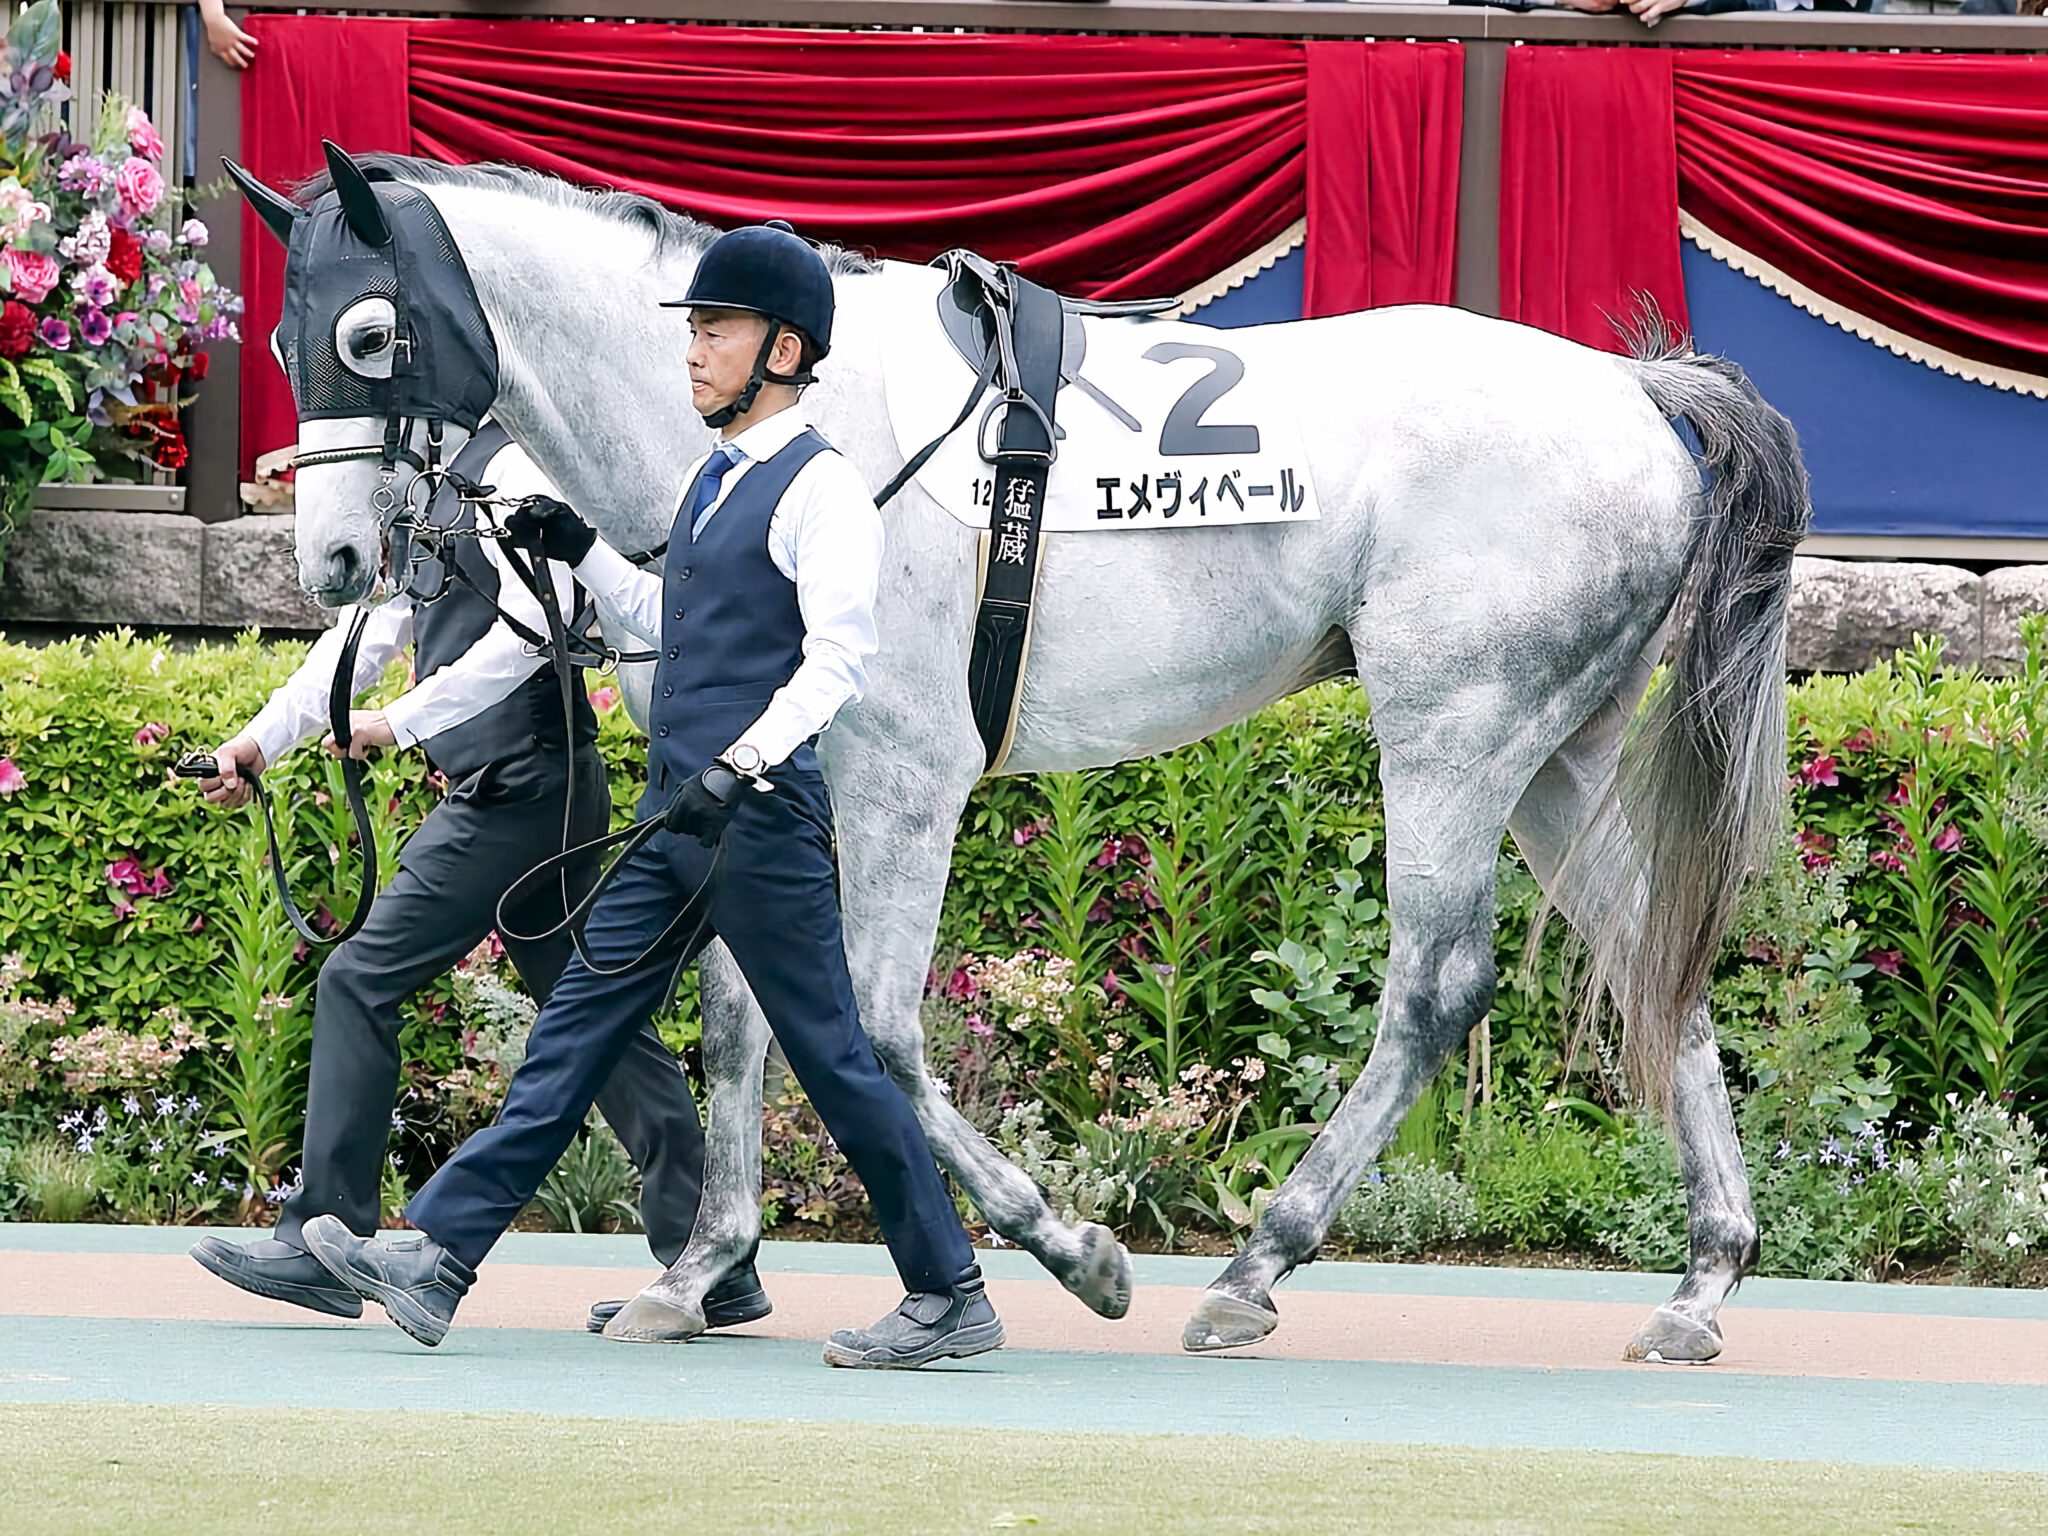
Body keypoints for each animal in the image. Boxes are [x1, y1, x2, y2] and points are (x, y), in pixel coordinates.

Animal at [243, 150, 1810, 1368]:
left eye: (367, 336)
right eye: (279, 342)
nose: (332, 564)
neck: (792, 434)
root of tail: (1639, 393)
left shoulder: (905, 778)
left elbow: (872, 1025)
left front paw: (1064, 1249)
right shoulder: (761, 777)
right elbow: (748, 1017)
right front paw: (699, 1271)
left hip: (1452, 728)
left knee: (1435, 986)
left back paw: (1254, 1267)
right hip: (1555, 752)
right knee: (1653, 954)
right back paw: (1703, 1278)